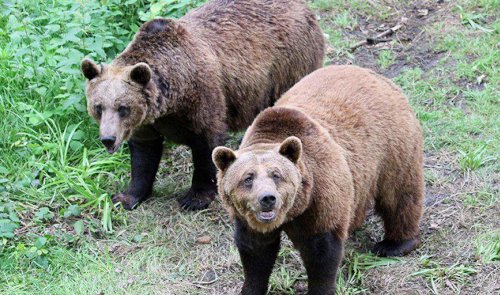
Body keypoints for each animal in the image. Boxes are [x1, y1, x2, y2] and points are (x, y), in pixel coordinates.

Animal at [80, 0, 326, 213]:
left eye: (122, 107)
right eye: (98, 107)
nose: (108, 139)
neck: (171, 99)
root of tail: (304, 7)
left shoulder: (201, 98)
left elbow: (206, 144)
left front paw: (195, 198)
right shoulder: (147, 122)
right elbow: (143, 155)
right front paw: (126, 197)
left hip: (289, 65)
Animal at [213, 65, 424, 295]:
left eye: (277, 175)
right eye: (247, 178)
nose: (267, 198)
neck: (293, 211)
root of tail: (375, 75)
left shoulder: (320, 196)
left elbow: (321, 251)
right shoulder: (248, 219)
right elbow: (255, 252)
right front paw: (251, 287)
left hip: (392, 146)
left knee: (399, 193)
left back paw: (394, 244)